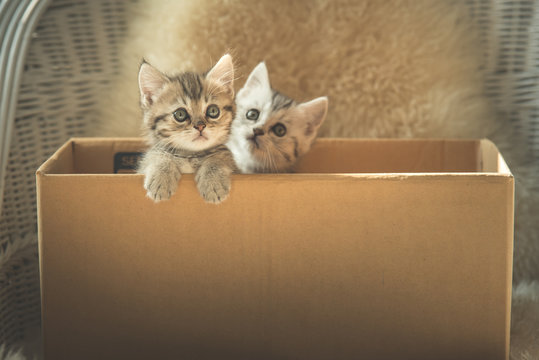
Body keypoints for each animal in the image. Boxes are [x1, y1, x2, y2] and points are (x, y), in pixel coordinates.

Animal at [137, 54, 236, 204]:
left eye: (213, 111)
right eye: (180, 114)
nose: (200, 126)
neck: (190, 155)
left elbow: (220, 156)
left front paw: (213, 182)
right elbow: (157, 155)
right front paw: (161, 177)